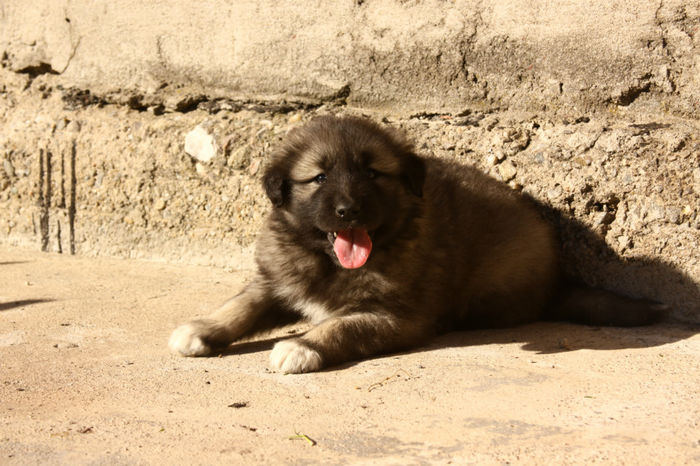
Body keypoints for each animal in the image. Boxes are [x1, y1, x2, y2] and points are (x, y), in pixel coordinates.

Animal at [168, 114, 660, 374]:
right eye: (320, 178)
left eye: (372, 173)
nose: (348, 211)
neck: (329, 261)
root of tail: (556, 281)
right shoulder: (277, 280)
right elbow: (240, 305)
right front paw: (201, 329)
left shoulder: (395, 315)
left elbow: (341, 327)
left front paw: (301, 345)